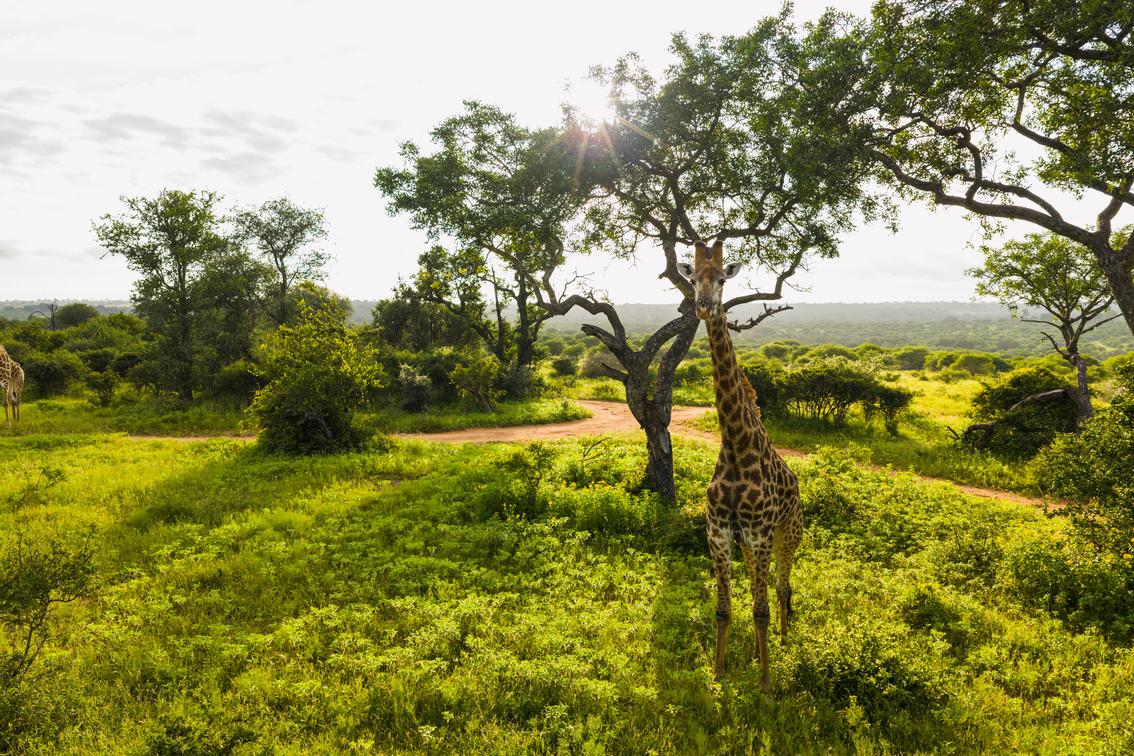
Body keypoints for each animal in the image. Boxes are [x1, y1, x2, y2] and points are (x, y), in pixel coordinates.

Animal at [678, 240, 803, 691]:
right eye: (693, 279)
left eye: (722, 279)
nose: (702, 306)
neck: (734, 445)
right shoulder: (720, 534)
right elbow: (725, 609)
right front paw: (718, 675)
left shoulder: (762, 533)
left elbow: (762, 609)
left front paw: (765, 684)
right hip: (751, 545)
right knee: (758, 590)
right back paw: (754, 652)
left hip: (789, 534)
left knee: (782, 589)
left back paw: (782, 644)